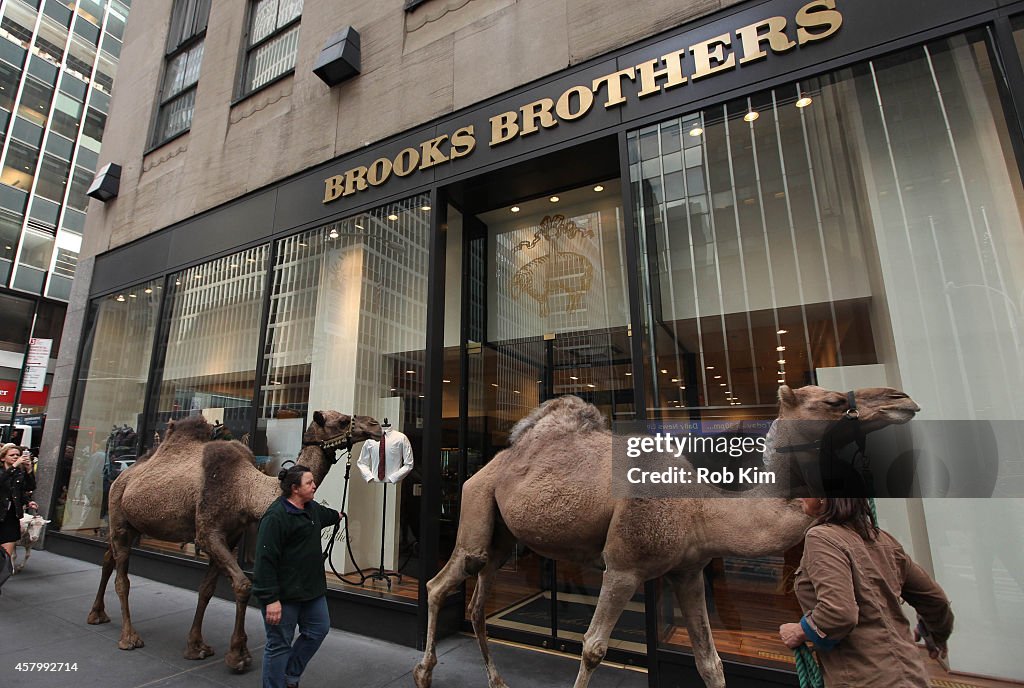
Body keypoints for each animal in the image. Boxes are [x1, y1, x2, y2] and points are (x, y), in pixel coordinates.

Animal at [88, 411, 380, 667]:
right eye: (342, 420)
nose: (376, 425)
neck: (245, 489)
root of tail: (122, 476)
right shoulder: (208, 533)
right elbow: (242, 585)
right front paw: (239, 654)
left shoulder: (229, 537)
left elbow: (206, 590)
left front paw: (196, 646)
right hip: (118, 514)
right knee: (123, 579)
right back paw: (129, 637)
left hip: (132, 525)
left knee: (108, 557)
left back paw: (97, 614)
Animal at [413, 384, 921, 688]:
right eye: (833, 402)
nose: (903, 399)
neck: (699, 509)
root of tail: (492, 463)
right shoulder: (623, 566)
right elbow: (593, 649)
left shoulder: (688, 571)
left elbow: (710, 662)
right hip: (477, 509)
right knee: (441, 583)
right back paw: (423, 674)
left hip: (502, 540)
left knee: (477, 602)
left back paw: (495, 680)